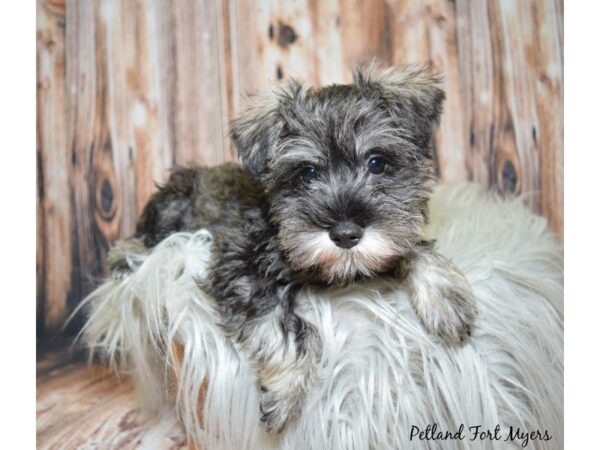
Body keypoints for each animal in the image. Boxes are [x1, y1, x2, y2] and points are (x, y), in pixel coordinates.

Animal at [108, 65, 478, 434]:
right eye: (307, 173)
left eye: (376, 163)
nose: (346, 234)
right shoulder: (241, 271)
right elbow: (280, 330)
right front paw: (284, 396)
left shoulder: (387, 243)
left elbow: (411, 247)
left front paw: (446, 299)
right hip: (169, 210)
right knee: (137, 240)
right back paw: (125, 261)